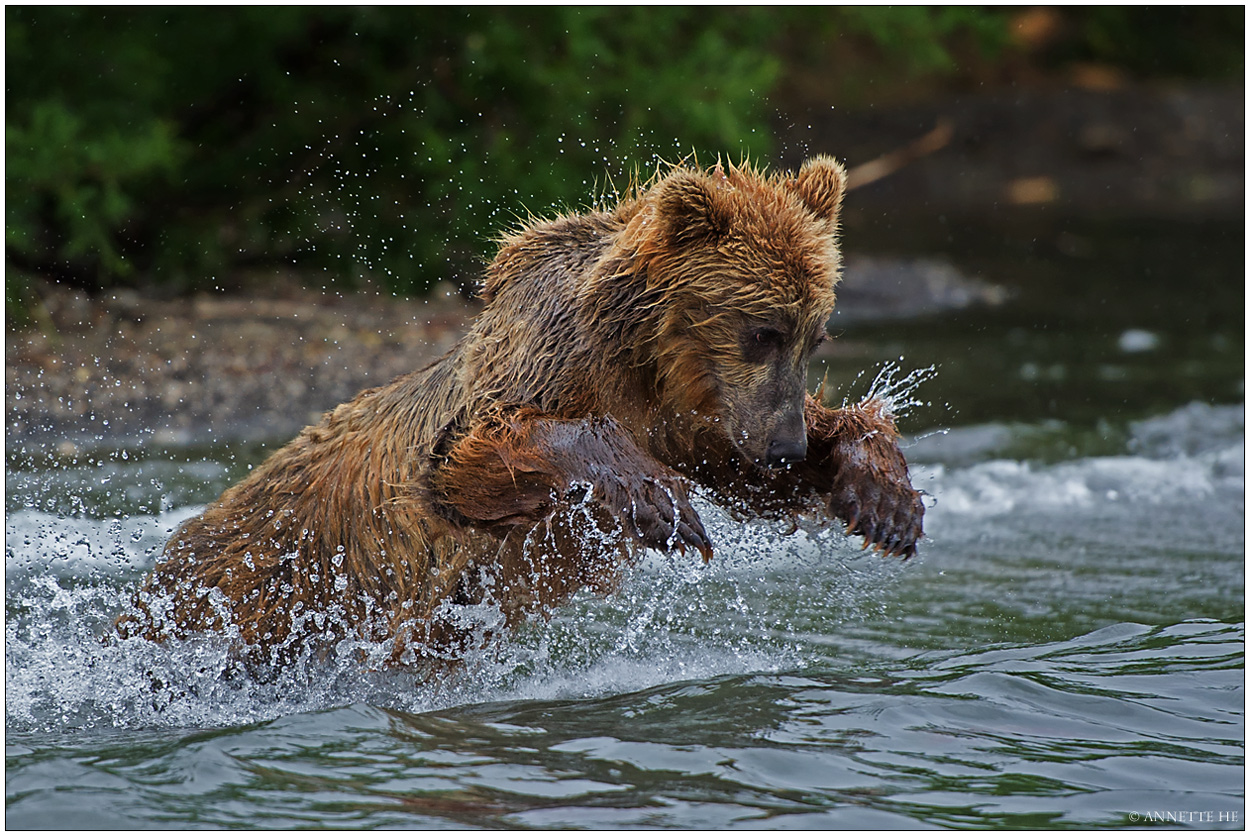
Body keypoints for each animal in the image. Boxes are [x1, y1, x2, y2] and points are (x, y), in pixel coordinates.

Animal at [121, 154, 925, 664]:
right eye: (762, 331)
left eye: (816, 334)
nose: (786, 444)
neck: (642, 355)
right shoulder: (540, 363)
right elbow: (471, 459)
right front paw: (658, 501)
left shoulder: (686, 416)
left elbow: (744, 477)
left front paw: (882, 495)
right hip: (260, 586)